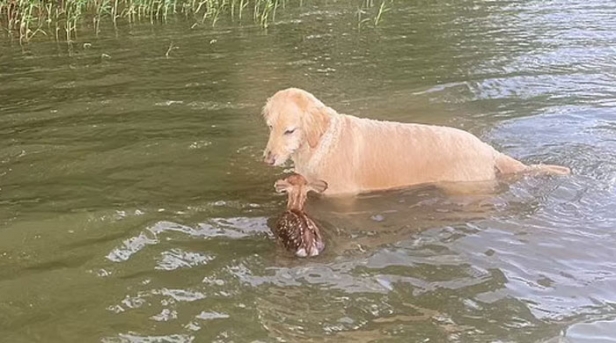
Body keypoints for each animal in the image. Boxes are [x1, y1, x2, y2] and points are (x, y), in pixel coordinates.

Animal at [262, 87, 572, 198]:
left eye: (290, 131)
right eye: (270, 126)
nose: (268, 158)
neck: (322, 143)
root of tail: (487, 149)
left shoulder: (341, 196)